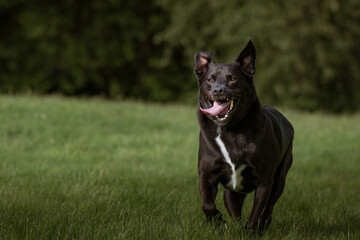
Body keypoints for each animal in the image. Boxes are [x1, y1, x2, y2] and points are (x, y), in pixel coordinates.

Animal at [194, 40, 292, 232]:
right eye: (210, 79)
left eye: (232, 78)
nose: (218, 90)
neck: (230, 129)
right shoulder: (206, 174)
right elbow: (207, 205)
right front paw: (218, 221)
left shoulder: (264, 181)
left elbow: (256, 212)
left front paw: (250, 231)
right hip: (231, 192)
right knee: (234, 210)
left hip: (279, 179)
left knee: (268, 208)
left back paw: (262, 227)